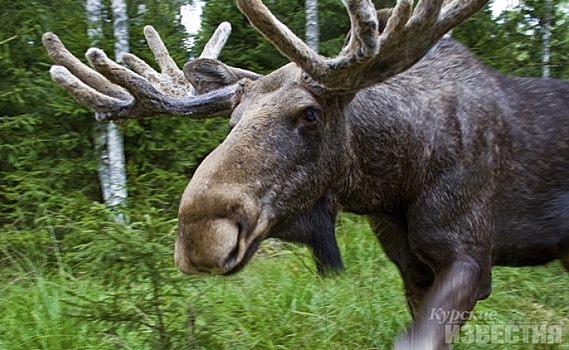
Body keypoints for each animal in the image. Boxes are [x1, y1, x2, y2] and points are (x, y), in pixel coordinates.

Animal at [41, 0, 568, 348]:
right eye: (232, 120)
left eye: (310, 114)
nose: (199, 234)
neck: (395, 180)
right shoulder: (410, 268)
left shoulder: (470, 254)